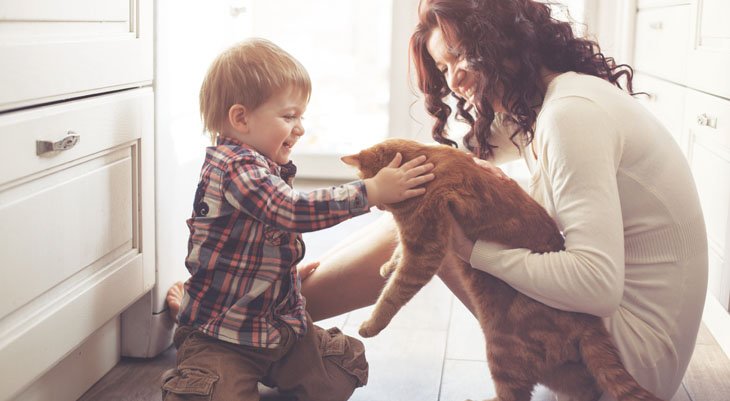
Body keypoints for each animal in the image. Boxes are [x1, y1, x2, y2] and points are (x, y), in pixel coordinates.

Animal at [342, 138, 660, 400]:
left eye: (368, 185)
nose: (375, 207)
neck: (425, 162)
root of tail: (589, 320)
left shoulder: (425, 250)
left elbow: (393, 294)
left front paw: (371, 324)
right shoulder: (416, 242)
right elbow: (396, 255)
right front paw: (388, 265)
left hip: (500, 349)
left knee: (515, 395)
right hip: (560, 368)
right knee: (584, 388)